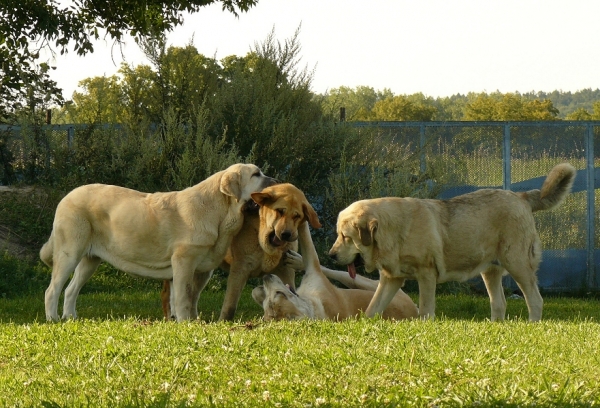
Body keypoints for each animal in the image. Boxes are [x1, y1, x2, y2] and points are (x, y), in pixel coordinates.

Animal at [41, 163, 276, 322]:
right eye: (256, 174)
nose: (275, 181)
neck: (219, 211)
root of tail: (66, 198)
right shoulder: (184, 262)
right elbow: (183, 296)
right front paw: (185, 322)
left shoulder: (202, 270)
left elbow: (192, 297)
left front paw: (193, 320)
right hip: (69, 253)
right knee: (52, 289)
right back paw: (53, 319)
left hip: (90, 261)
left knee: (71, 290)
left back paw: (70, 317)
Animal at [158, 183, 318, 320]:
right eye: (279, 211)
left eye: (297, 216)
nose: (286, 234)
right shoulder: (240, 269)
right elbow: (230, 305)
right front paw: (223, 322)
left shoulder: (285, 270)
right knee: (169, 294)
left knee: (191, 296)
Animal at [252, 222, 418, 320]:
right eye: (270, 300)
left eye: (279, 294)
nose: (266, 277)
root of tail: (415, 311)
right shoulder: (315, 272)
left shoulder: (314, 271)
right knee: (345, 274)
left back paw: (297, 261)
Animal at [328, 163, 576, 322]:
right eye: (339, 235)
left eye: (346, 237)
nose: (331, 255)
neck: (394, 231)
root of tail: (521, 197)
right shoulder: (391, 279)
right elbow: (372, 308)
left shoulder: (426, 275)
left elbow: (425, 310)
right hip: (490, 271)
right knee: (499, 303)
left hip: (518, 264)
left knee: (535, 299)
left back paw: (533, 324)